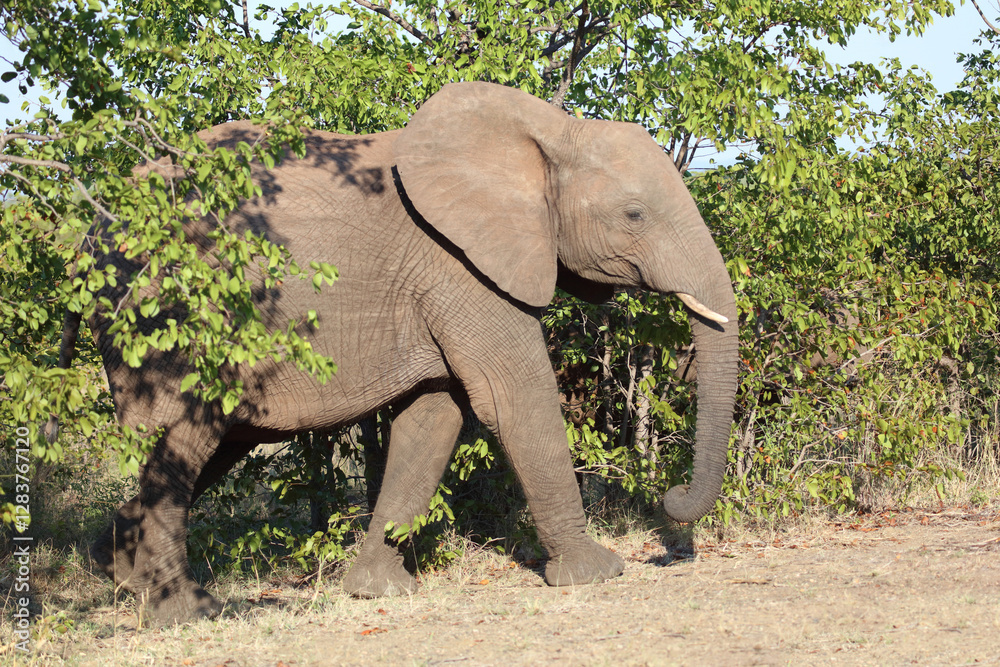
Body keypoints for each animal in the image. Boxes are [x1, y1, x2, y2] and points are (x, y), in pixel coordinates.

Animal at [56, 81, 739, 624]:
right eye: (635, 214)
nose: (671, 501)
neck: (548, 131)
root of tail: (83, 237)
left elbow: (437, 417)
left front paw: (378, 591)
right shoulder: (458, 266)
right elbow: (513, 399)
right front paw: (597, 573)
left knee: (204, 446)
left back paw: (121, 577)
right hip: (164, 317)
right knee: (180, 436)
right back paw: (183, 611)